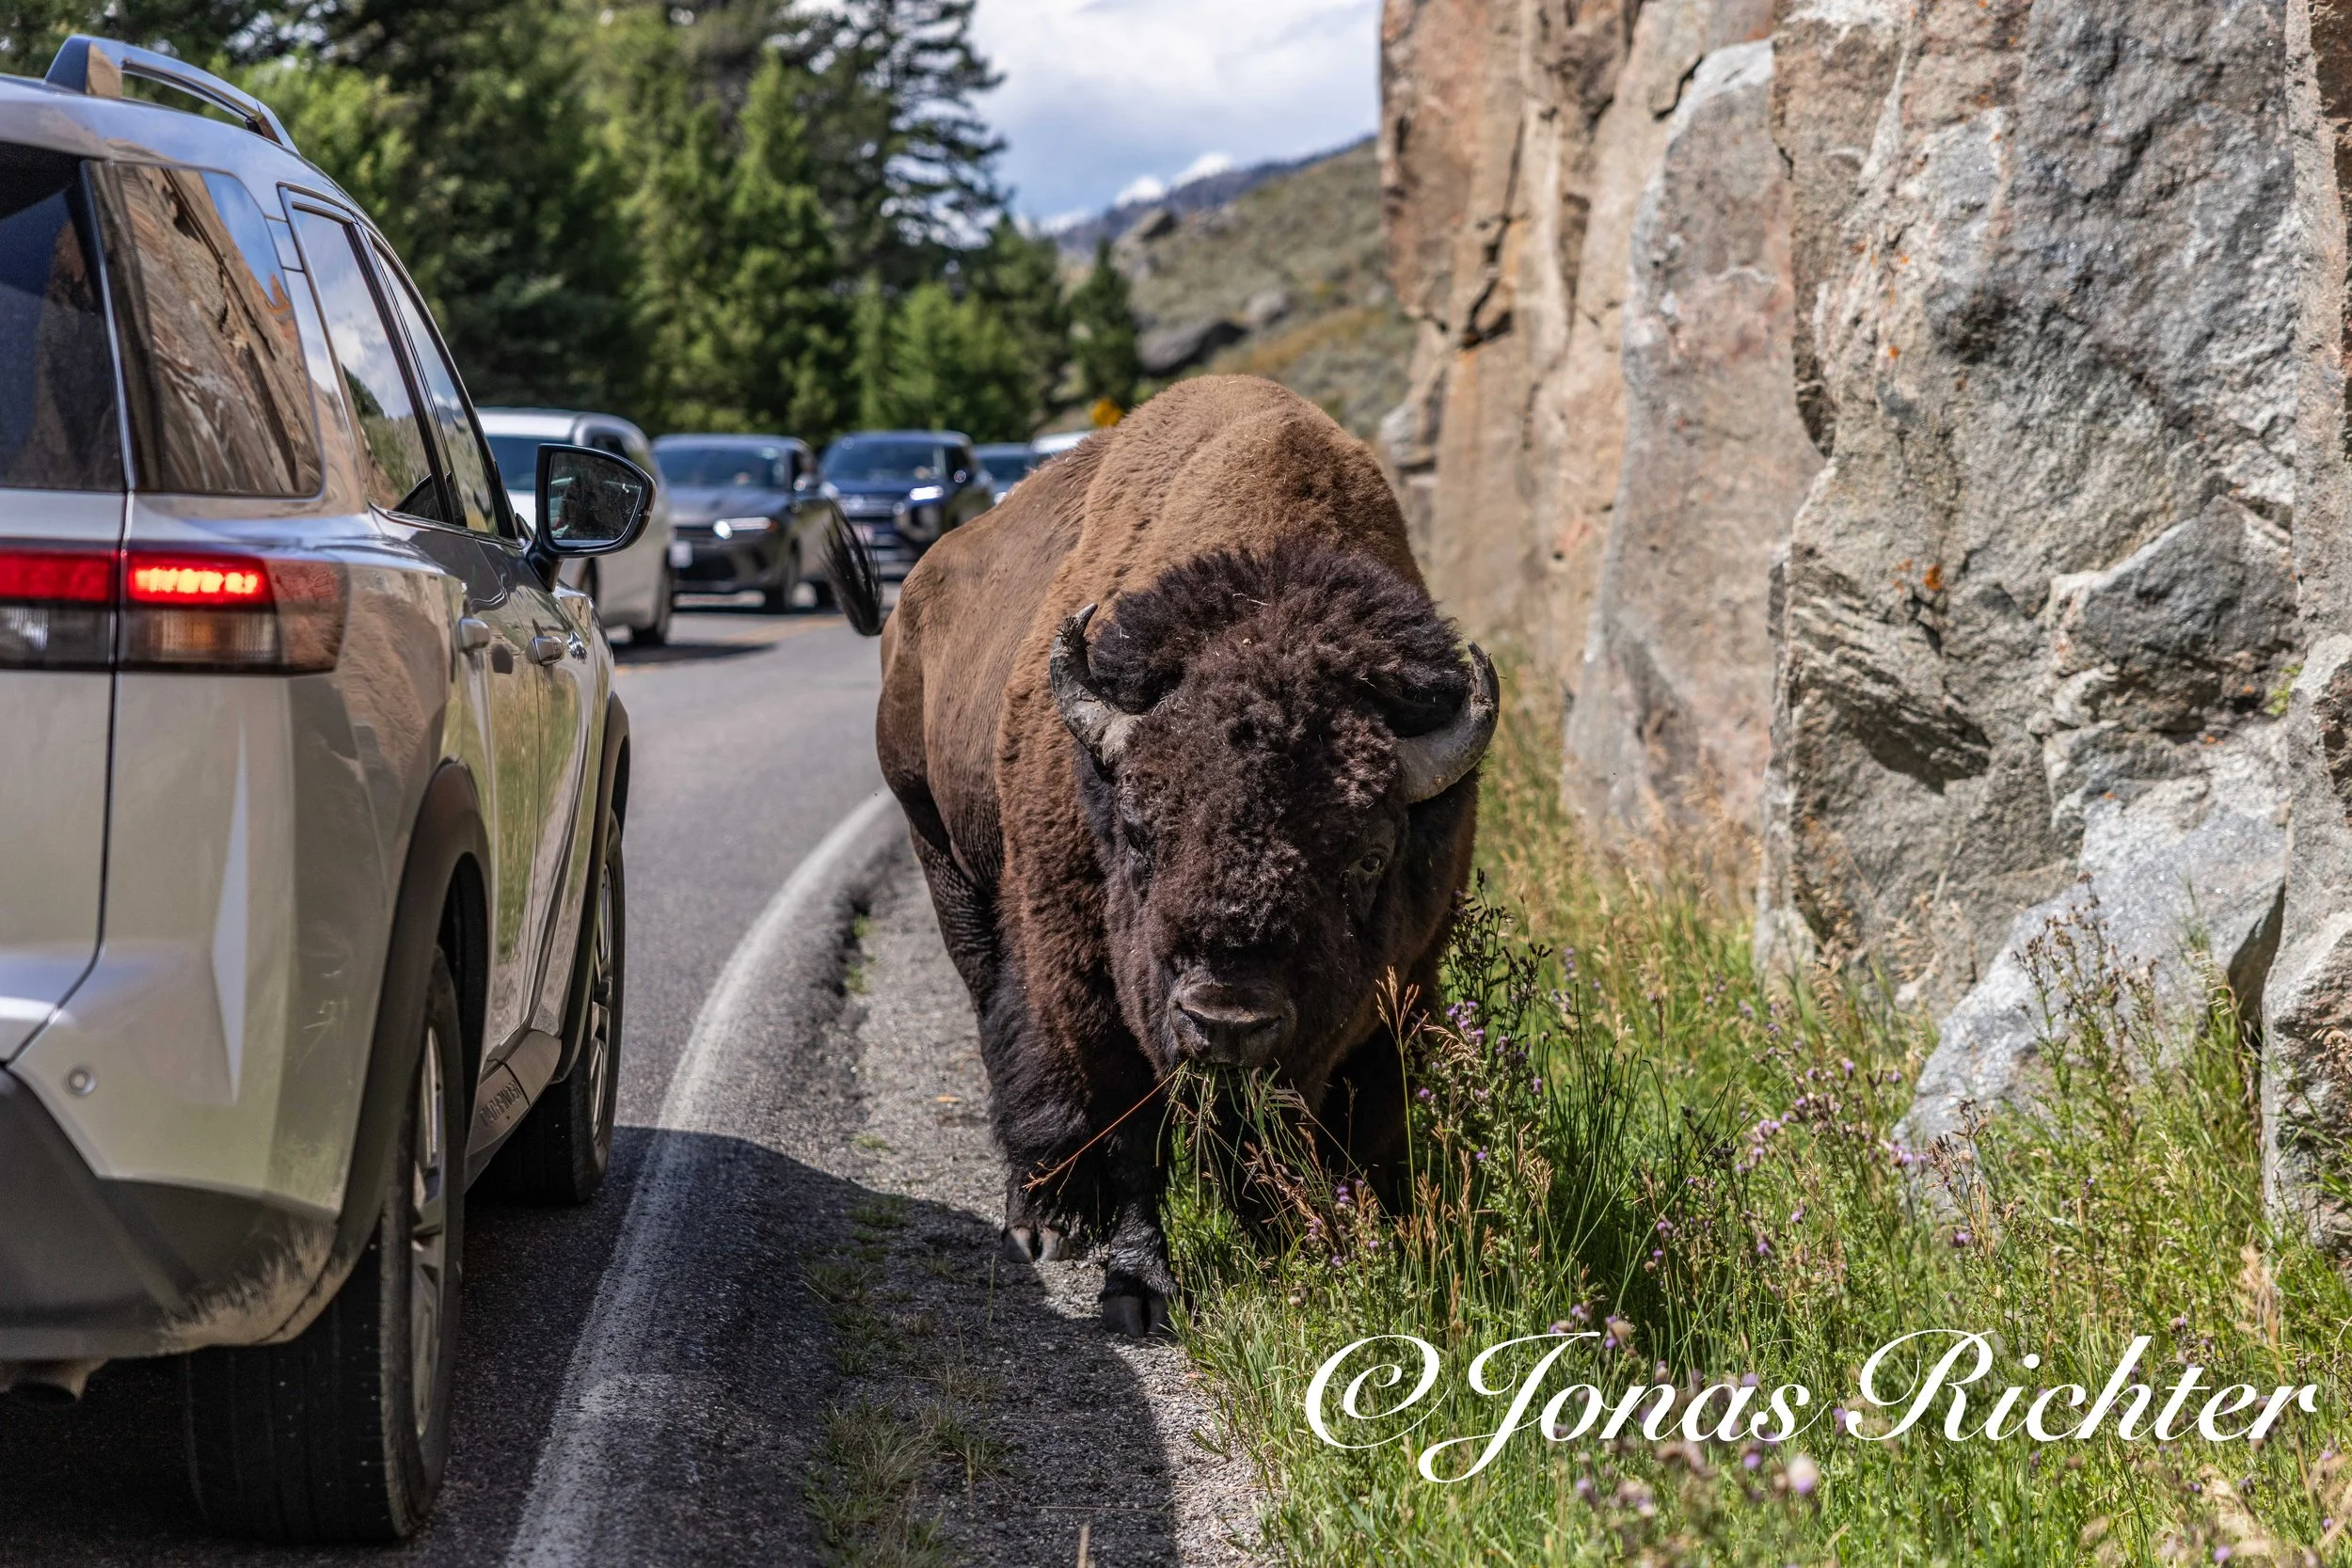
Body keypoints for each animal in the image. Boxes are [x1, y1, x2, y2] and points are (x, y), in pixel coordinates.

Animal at [857, 376, 1496, 1333]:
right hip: (943, 853)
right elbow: (1130, 1125)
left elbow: (1353, 1127)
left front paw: (1341, 1253)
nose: (1226, 1016)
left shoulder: (1406, 982)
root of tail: (912, 600)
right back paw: (1041, 1218)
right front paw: (1138, 1288)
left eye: (1368, 856)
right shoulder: (1094, 979)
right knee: (1001, 1024)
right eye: (1139, 829)